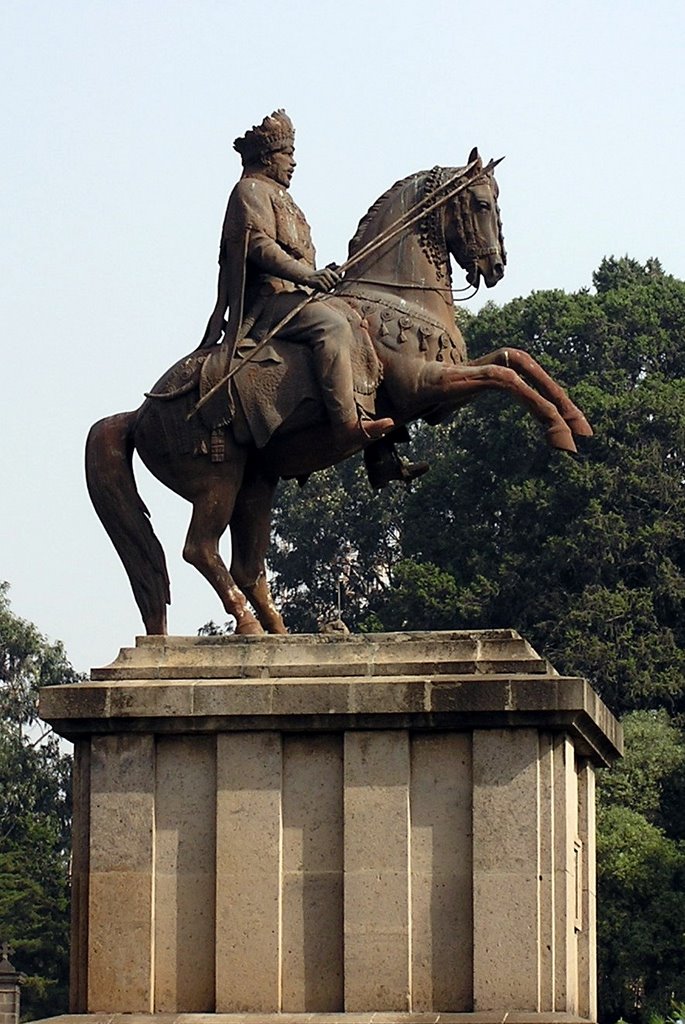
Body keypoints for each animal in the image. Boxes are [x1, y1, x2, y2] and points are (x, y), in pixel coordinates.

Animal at [83, 149, 589, 634]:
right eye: (482, 203)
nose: (496, 266)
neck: (397, 298)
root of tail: (138, 415)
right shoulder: (424, 388)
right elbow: (505, 376)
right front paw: (557, 430)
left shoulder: (444, 393)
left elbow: (515, 358)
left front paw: (576, 420)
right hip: (217, 479)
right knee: (200, 550)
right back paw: (250, 627)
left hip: (256, 482)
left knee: (247, 565)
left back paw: (282, 633)